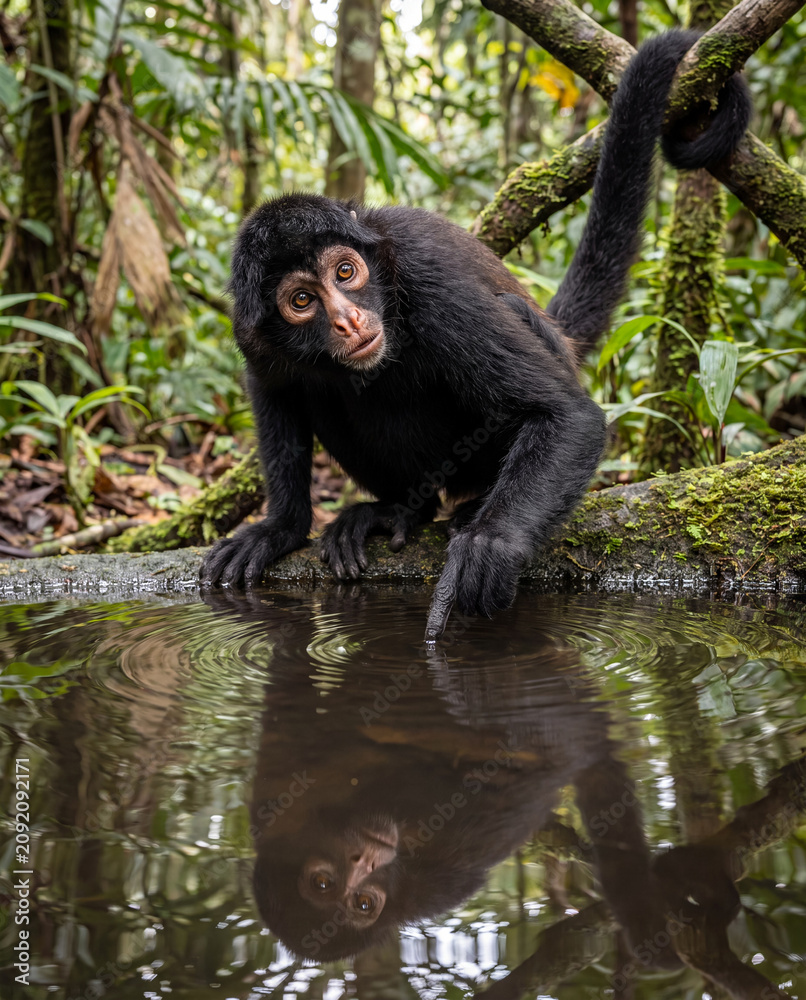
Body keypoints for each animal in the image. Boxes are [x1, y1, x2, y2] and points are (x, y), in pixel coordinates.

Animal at [199, 30, 751, 639]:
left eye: (345, 272)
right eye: (301, 301)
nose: (348, 320)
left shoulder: (432, 279)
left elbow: (568, 416)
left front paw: (489, 546)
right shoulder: (251, 330)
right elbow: (275, 391)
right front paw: (280, 528)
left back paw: (469, 510)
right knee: (326, 390)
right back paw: (398, 510)